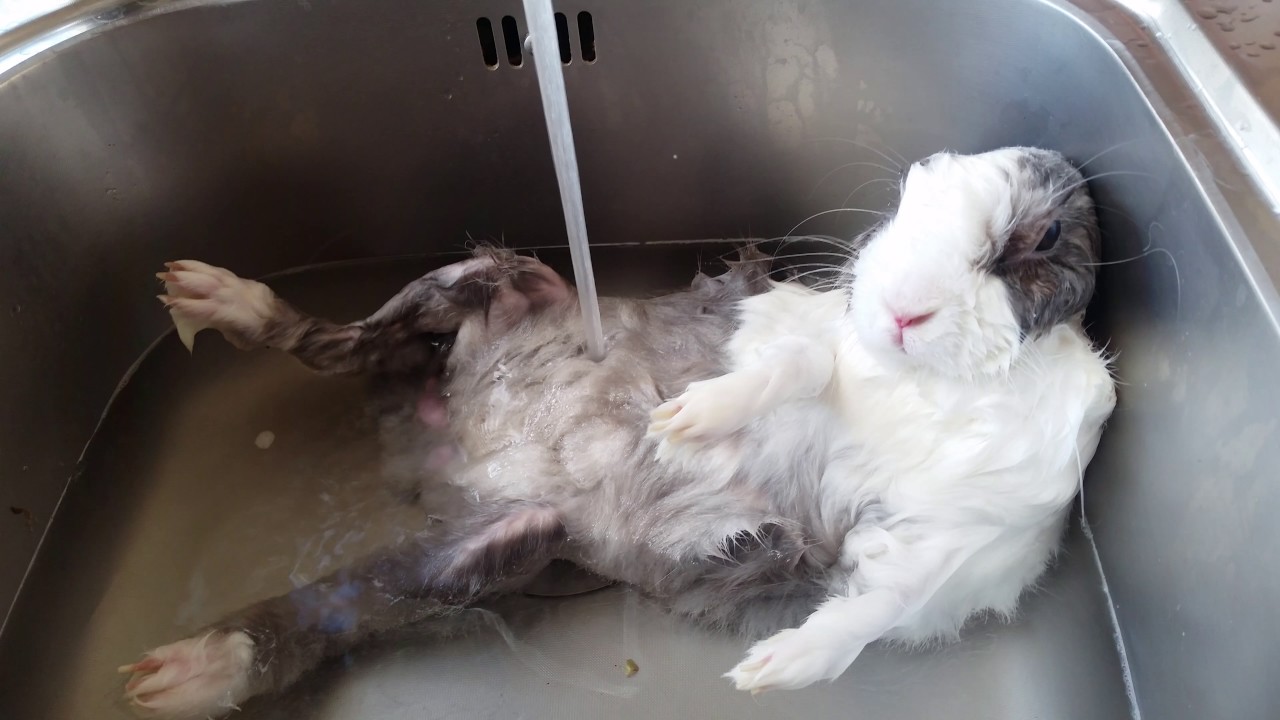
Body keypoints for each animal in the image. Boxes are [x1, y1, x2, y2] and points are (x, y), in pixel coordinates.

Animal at [117, 146, 1116, 719]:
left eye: (1043, 239)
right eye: (907, 211)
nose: (906, 309)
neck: (937, 389)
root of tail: (459, 444)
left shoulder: (960, 543)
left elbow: (882, 604)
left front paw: (780, 666)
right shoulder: (826, 342)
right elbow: (793, 366)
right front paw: (692, 416)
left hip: (499, 549)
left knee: (357, 591)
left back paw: (195, 668)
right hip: (480, 281)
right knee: (344, 342)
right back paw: (224, 299)